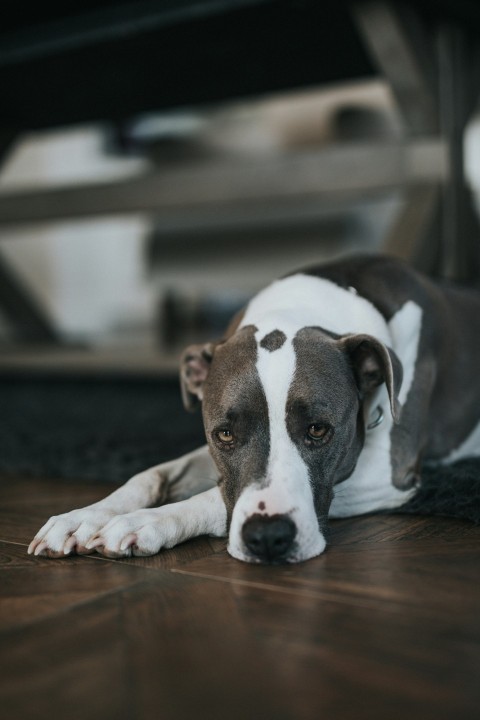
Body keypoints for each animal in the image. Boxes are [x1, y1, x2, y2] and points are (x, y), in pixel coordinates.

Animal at [28, 256, 480, 564]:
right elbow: (151, 475)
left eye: (319, 430)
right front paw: (85, 516)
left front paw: (148, 521)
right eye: (225, 434)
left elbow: (213, 498)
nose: (268, 537)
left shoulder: (387, 474)